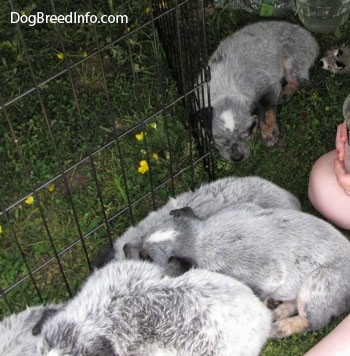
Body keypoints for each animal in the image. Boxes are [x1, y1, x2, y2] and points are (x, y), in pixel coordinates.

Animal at [125, 204, 350, 338]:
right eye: (143, 235)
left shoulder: (267, 274)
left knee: (312, 320)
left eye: (146, 256)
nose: (125, 247)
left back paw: (277, 327)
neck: (200, 241)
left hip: (317, 283)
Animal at [202, 20, 320, 162]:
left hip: (290, 55)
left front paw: (270, 134)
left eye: (245, 135)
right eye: (221, 141)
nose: (237, 158)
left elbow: (266, 111)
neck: (226, 91)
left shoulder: (270, 87)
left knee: (300, 80)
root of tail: (310, 37)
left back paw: (285, 93)